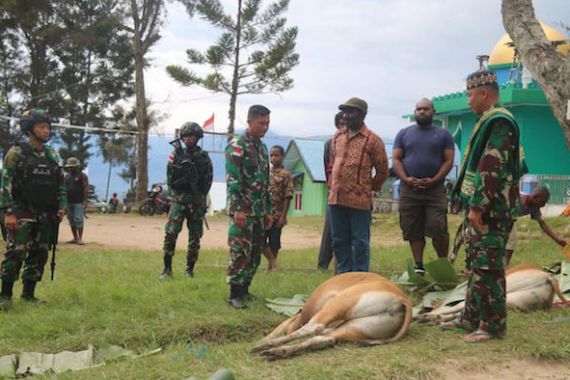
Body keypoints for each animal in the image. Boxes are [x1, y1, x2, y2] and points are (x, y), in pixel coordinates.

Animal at [251, 272, 410, 360]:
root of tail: (402, 300)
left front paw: (267, 339)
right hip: (355, 327)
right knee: (323, 339)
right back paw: (278, 352)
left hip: (337, 305)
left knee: (313, 328)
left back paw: (267, 345)